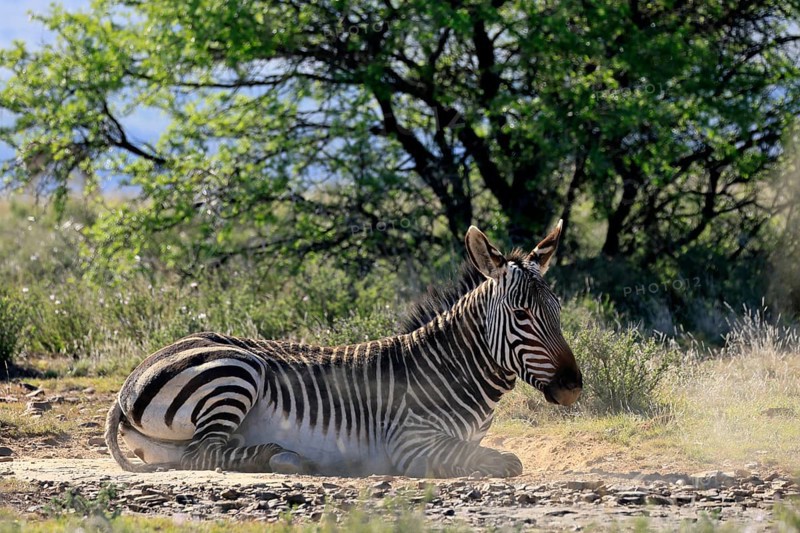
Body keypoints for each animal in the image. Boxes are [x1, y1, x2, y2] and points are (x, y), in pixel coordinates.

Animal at [105, 222, 582, 478]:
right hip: (236, 371)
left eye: (558, 310)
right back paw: (281, 456)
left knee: (195, 453)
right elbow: (505, 460)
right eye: (522, 315)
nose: (574, 387)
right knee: (204, 452)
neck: (450, 369)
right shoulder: (410, 441)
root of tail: (131, 379)